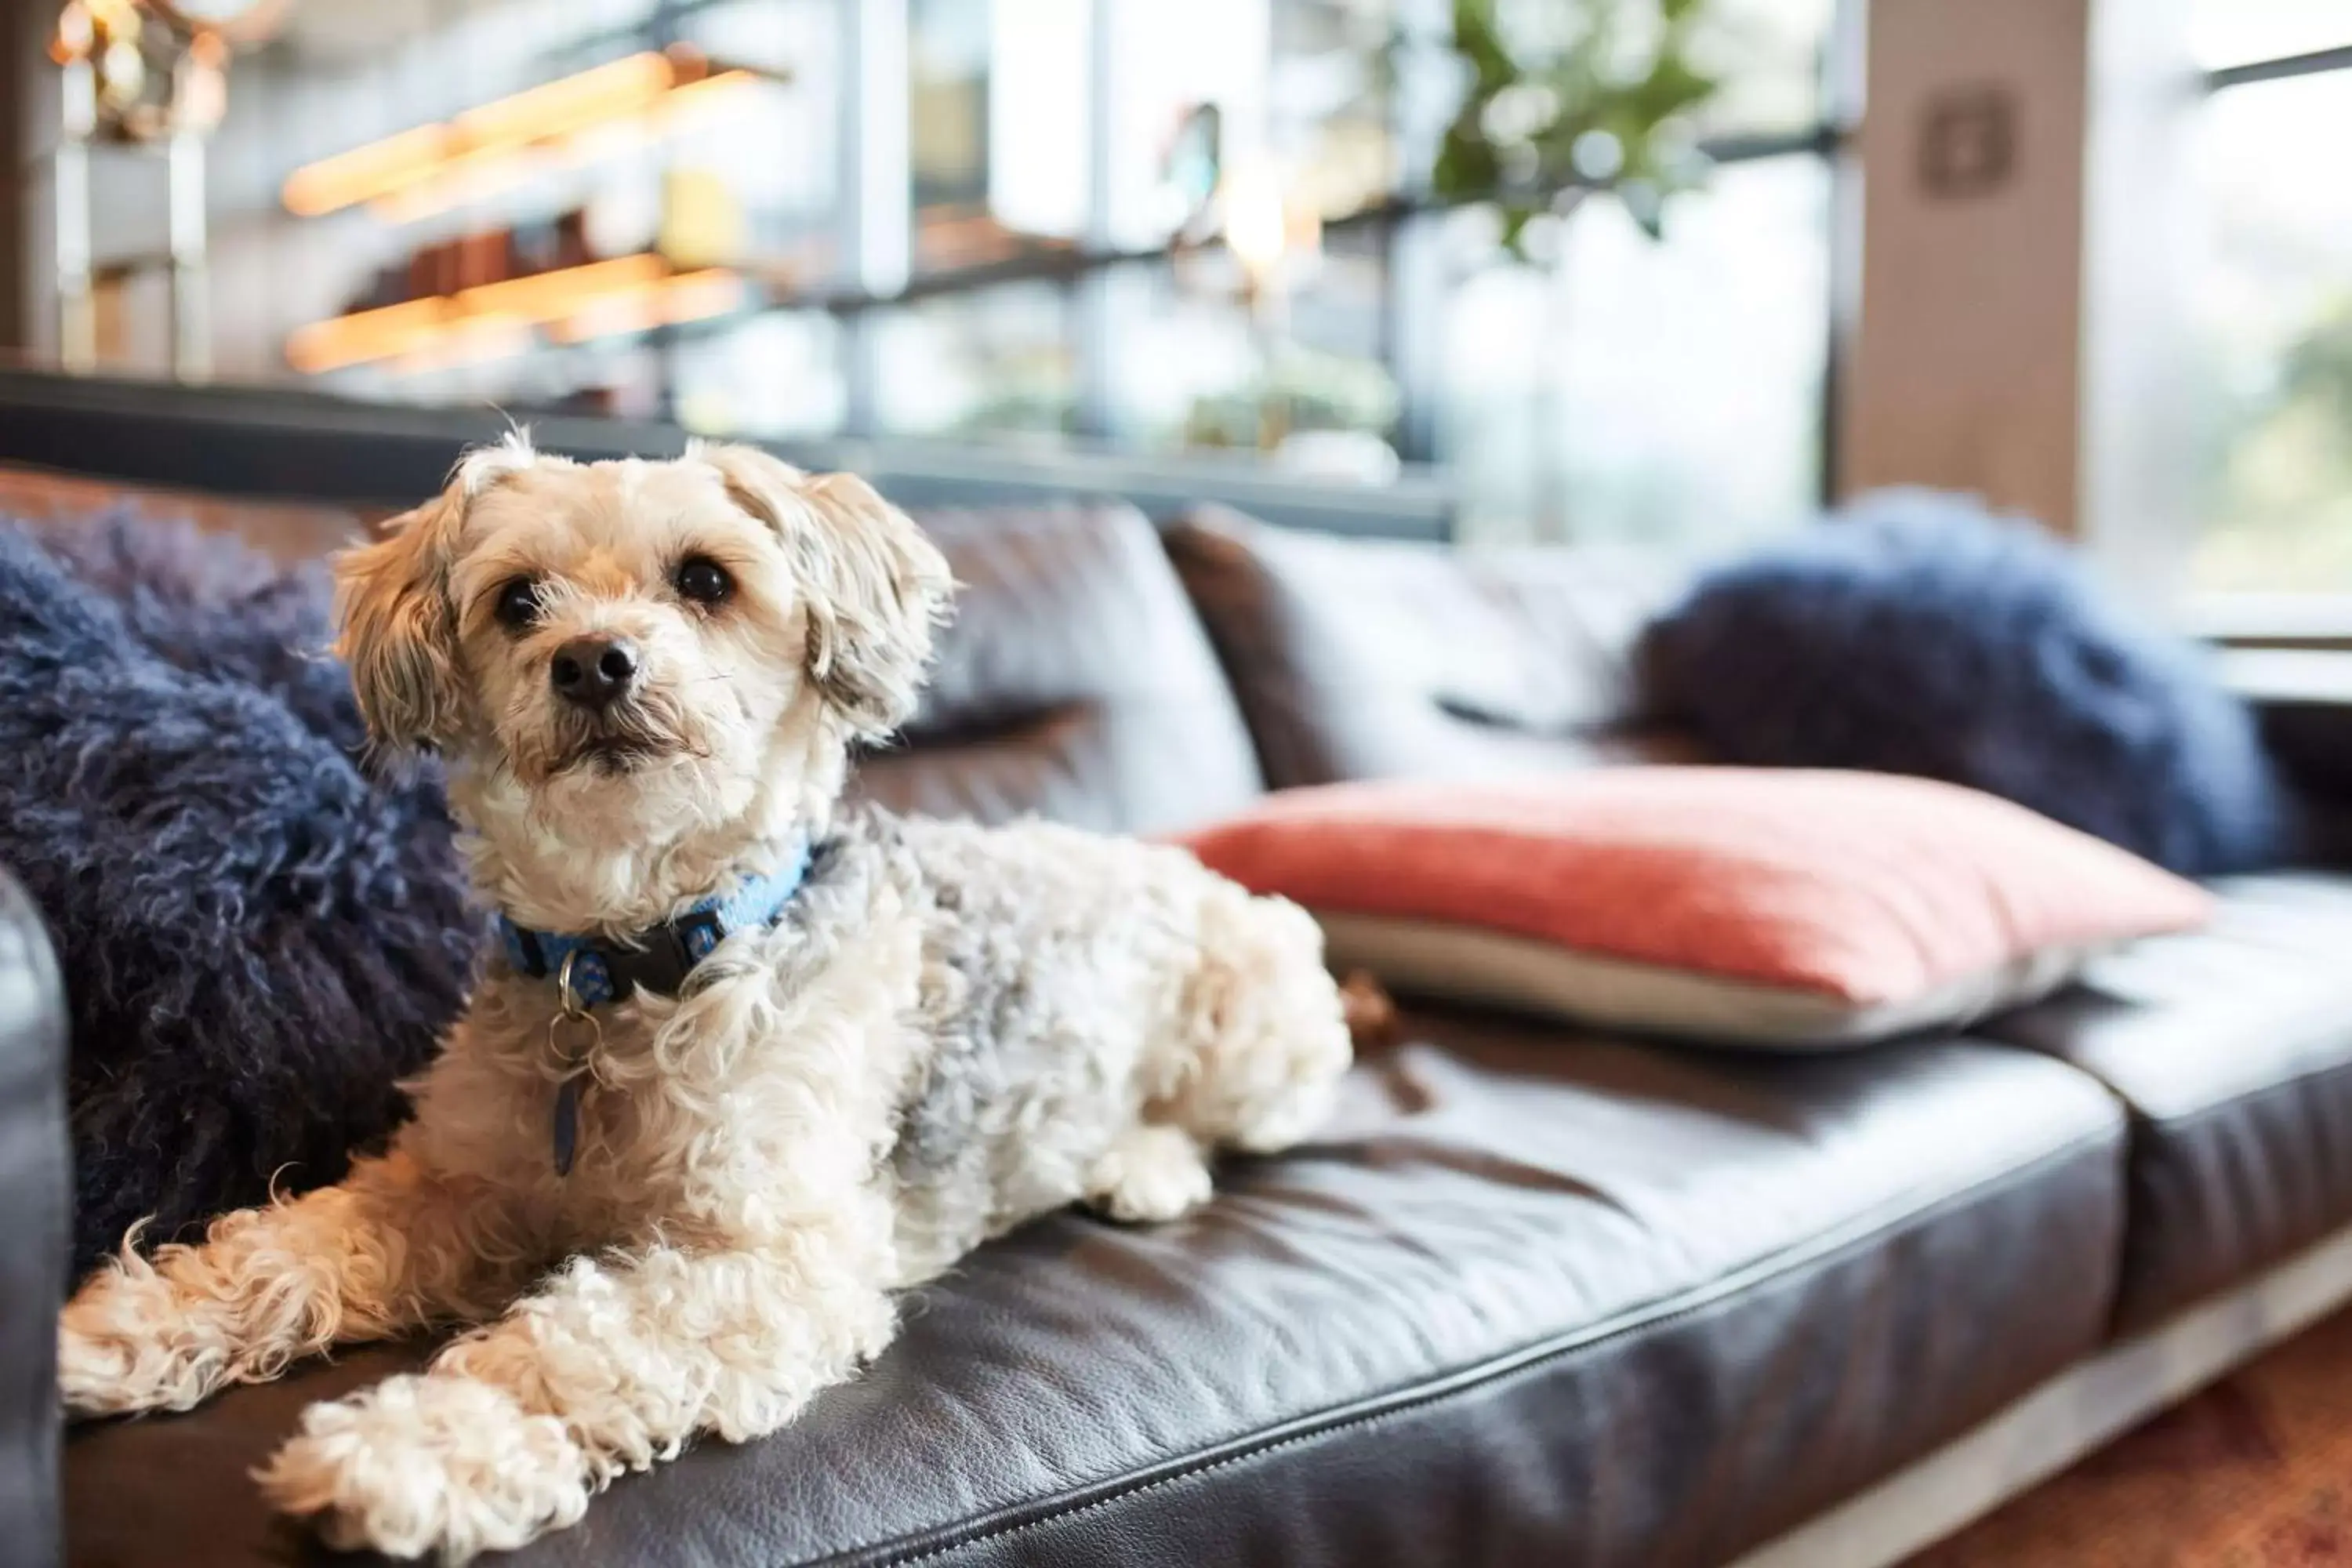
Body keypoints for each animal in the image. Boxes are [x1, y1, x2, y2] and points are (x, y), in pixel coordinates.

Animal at [55, 439, 1355, 1561]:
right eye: (518, 600)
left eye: (705, 580)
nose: (593, 660)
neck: (623, 963)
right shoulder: (455, 1183)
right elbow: (283, 1249)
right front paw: (114, 1332)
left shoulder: (773, 1255)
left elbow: (567, 1348)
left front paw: (408, 1455)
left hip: (1260, 1030)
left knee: (1247, 1122)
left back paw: (1147, 1164)